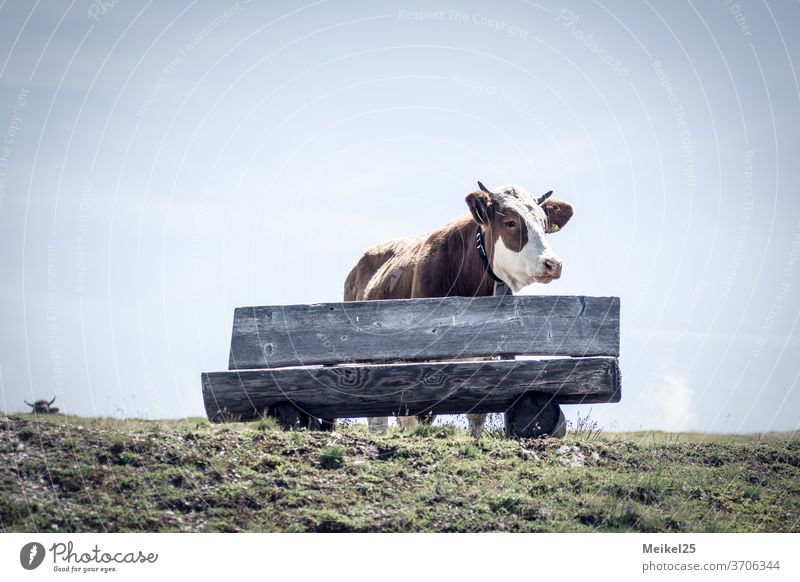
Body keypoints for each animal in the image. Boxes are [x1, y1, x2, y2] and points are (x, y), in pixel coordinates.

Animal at [344, 182, 576, 438]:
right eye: (510, 222)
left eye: (544, 224)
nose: (552, 264)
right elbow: (422, 416)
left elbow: (476, 413)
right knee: (378, 419)